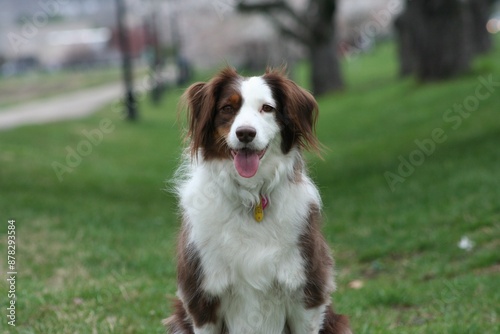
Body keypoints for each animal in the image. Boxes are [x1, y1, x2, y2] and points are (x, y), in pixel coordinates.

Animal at [165, 68, 352, 334]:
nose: (245, 133)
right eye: (227, 108)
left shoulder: (306, 291)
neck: (251, 197)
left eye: (267, 108)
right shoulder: (202, 297)